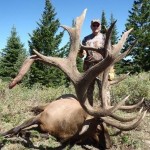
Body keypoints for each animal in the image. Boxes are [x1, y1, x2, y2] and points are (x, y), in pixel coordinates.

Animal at [0, 9, 146, 149]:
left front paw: (26, 134)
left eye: (107, 128)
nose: (110, 146)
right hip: (46, 105)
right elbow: (16, 128)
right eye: (98, 129)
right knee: (32, 107)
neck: (65, 128)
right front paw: (6, 134)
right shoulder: (39, 117)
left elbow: (35, 133)